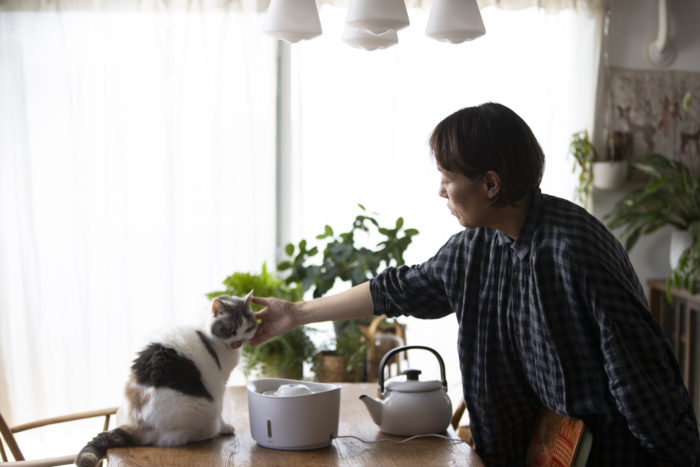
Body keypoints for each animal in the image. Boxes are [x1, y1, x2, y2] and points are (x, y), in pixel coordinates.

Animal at [76, 294, 258, 466]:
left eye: (248, 327)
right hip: (204, 413)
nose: (241, 340)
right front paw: (226, 426)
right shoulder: (220, 384)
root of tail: (140, 423)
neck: (204, 330)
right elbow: (221, 411)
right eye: (231, 329)